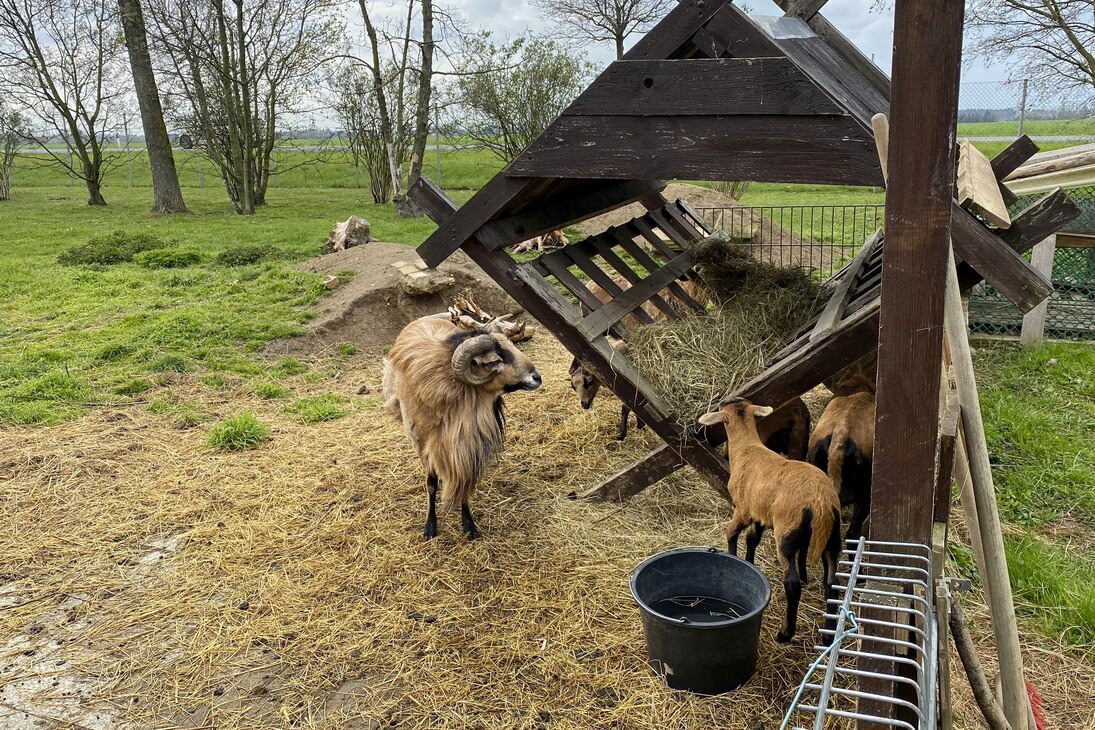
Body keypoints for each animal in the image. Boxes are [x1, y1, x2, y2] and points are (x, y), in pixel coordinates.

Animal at [381, 317, 543, 540]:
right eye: (494, 361)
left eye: (512, 346)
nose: (537, 377)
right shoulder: (422, 444)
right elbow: (431, 484)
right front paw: (430, 527)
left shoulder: (469, 447)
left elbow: (466, 482)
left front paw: (469, 526)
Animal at [696, 396, 840, 643]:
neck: (747, 448)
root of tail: (821, 502)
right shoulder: (760, 515)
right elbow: (752, 539)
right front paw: (749, 563)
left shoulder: (743, 509)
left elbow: (731, 533)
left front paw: (733, 558)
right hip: (832, 535)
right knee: (832, 584)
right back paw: (828, 636)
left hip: (786, 533)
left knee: (792, 584)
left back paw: (785, 633)